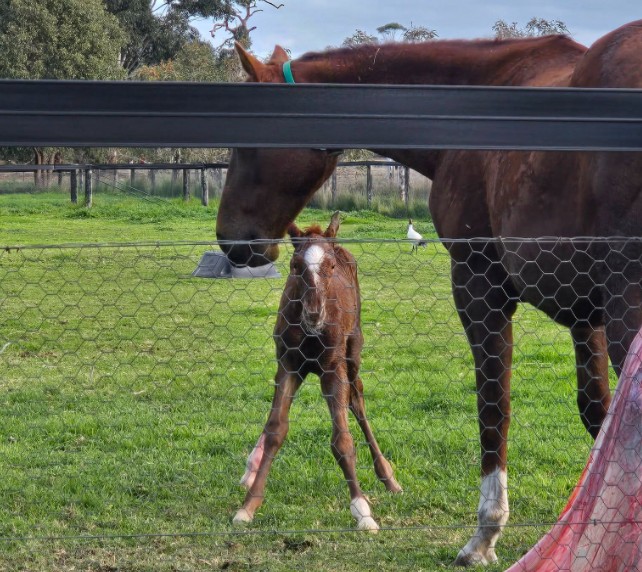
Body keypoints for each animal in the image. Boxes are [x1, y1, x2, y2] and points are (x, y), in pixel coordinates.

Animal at [233, 211, 402, 531]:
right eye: (294, 266)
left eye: (331, 266)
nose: (314, 314)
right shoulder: (288, 365)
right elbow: (276, 429)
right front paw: (248, 505)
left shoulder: (332, 368)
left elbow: (342, 439)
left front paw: (362, 510)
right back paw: (251, 466)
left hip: (353, 349)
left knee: (357, 400)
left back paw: (388, 477)